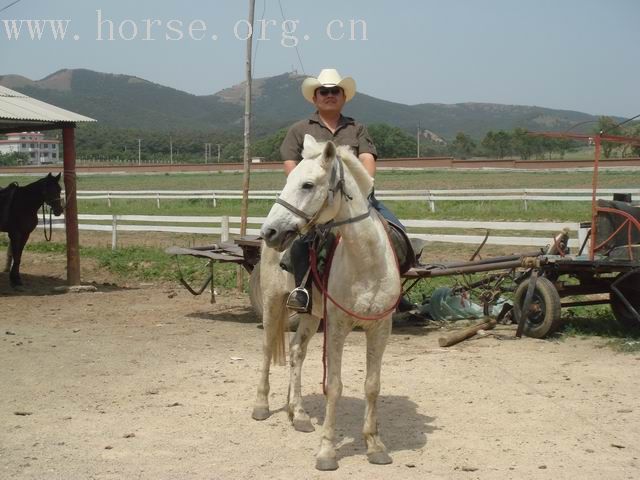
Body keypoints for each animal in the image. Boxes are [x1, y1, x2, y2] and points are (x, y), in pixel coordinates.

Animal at [254, 133, 400, 470]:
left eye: (308, 185)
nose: (270, 231)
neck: (366, 263)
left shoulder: (380, 328)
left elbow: (372, 385)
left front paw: (375, 445)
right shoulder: (337, 327)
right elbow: (334, 386)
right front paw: (327, 452)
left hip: (310, 314)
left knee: (296, 351)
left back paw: (298, 414)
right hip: (272, 303)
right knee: (267, 350)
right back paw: (262, 406)